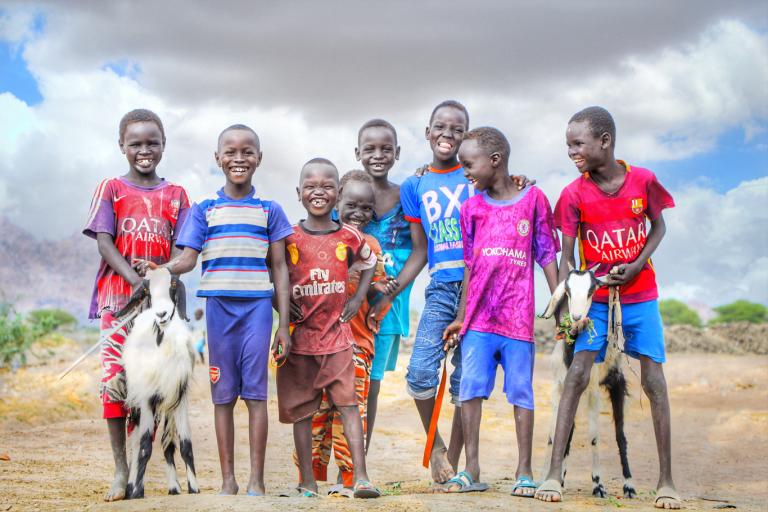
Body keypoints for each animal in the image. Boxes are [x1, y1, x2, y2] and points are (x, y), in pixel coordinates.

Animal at [118, 266, 200, 498]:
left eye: (172, 285)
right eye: (147, 291)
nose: (162, 314)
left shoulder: (179, 395)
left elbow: (185, 445)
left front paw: (193, 488)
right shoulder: (147, 398)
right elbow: (144, 446)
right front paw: (136, 491)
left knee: (167, 443)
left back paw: (173, 487)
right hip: (141, 404)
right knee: (137, 441)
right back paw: (131, 487)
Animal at [540, 266, 636, 498]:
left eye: (592, 290)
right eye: (567, 290)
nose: (576, 318)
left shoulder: (593, 391)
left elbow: (593, 436)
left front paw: (598, 485)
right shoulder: (558, 389)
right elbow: (554, 434)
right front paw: (547, 480)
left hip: (616, 383)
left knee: (620, 434)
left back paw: (628, 486)